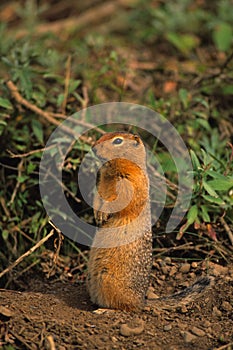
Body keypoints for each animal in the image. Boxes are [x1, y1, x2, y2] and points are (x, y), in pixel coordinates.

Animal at [86, 132, 212, 312]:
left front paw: (104, 213)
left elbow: (120, 201)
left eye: (118, 140)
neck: (114, 168)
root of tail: (142, 300)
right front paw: (97, 214)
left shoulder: (130, 182)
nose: (93, 148)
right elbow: (98, 197)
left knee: (124, 307)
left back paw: (103, 310)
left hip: (107, 278)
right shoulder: (102, 180)